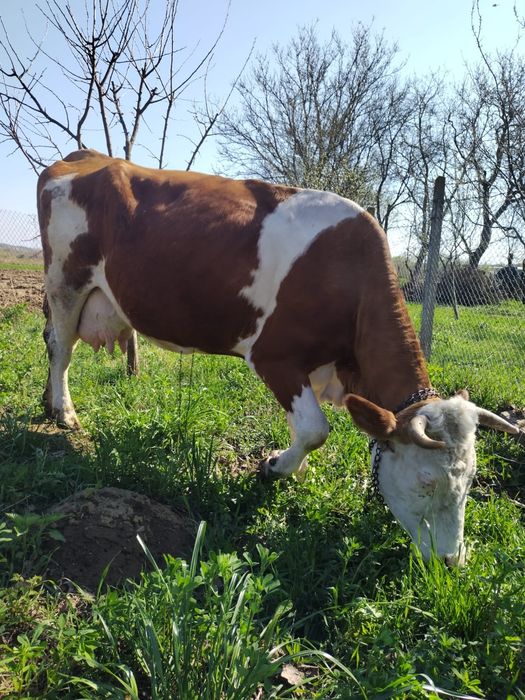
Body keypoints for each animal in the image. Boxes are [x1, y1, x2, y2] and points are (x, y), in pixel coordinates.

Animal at [37, 150, 518, 566]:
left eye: (471, 481)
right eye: (426, 482)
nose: (452, 561)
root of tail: (86, 156)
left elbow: (306, 430)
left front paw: (292, 469)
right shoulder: (276, 357)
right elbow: (314, 430)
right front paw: (272, 467)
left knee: (52, 341)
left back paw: (46, 403)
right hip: (66, 280)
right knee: (61, 346)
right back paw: (63, 412)